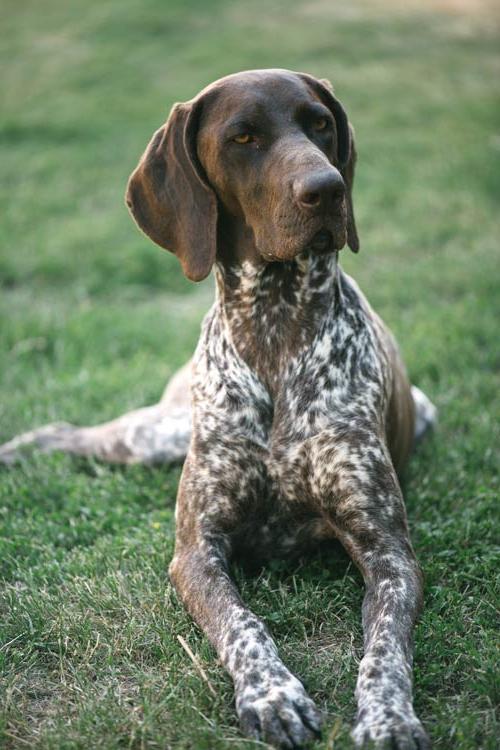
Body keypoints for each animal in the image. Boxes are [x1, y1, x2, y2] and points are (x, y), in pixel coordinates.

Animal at [0, 69, 438, 748]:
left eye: (320, 125)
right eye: (243, 138)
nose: (328, 189)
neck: (275, 323)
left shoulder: (389, 551)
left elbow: (386, 646)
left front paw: (388, 716)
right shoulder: (196, 551)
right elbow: (242, 625)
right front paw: (273, 693)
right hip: (155, 435)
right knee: (68, 430)